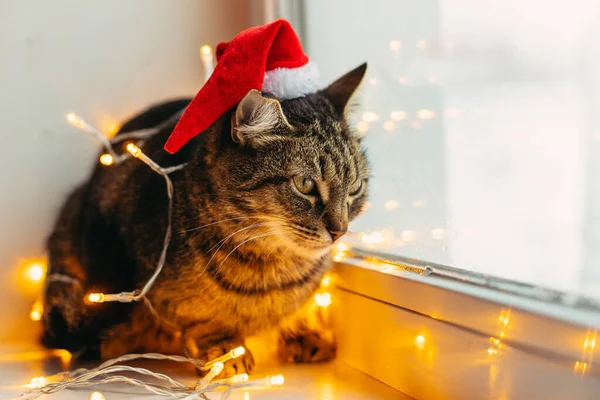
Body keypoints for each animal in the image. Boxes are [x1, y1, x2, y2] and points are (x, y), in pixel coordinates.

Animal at [42, 62, 368, 376]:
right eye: (304, 184)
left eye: (355, 188)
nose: (340, 231)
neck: (272, 271)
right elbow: (202, 320)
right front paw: (227, 349)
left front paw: (302, 332)